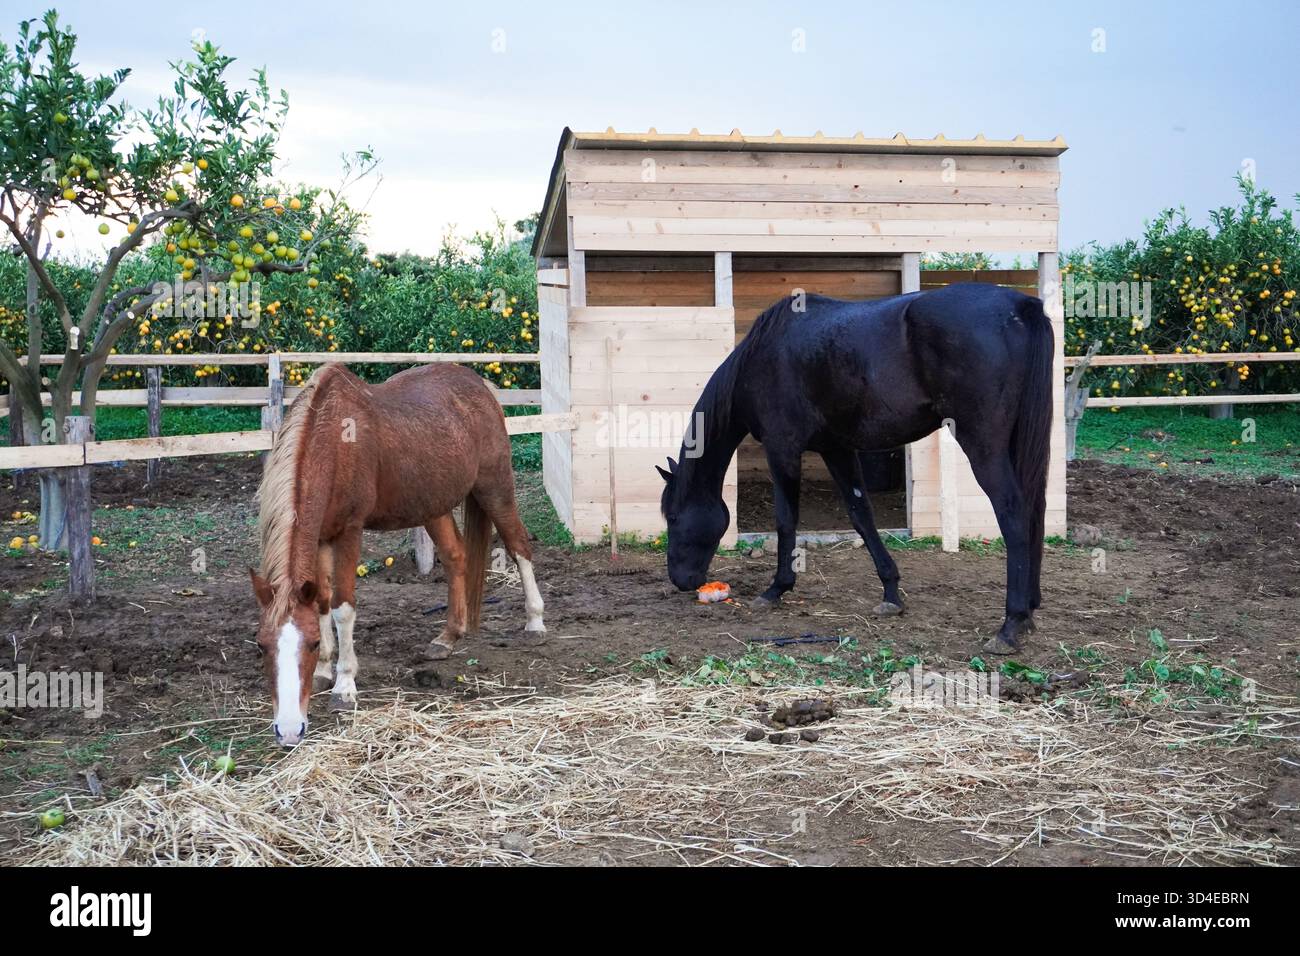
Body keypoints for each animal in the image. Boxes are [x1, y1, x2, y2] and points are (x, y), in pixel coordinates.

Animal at [249, 363, 546, 746]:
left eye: (311, 644)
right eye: (261, 646)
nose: (288, 731)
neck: (334, 443)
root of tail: (480, 384)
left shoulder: (350, 531)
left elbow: (343, 607)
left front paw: (344, 685)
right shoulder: (321, 537)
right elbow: (324, 602)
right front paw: (326, 671)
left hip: (495, 486)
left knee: (519, 546)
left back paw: (535, 621)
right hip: (433, 506)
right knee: (455, 557)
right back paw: (448, 637)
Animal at [658, 282, 1053, 655]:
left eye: (673, 517)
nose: (679, 580)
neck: (764, 354)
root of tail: (1020, 305)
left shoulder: (782, 449)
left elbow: (786, 520)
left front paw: (776, 589)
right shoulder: (838, 449)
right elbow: (861, 515)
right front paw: (891, 593)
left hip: (982, 445)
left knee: (1013, 513)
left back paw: (1011, 624)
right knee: (1035, 510)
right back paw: (1030, 610)